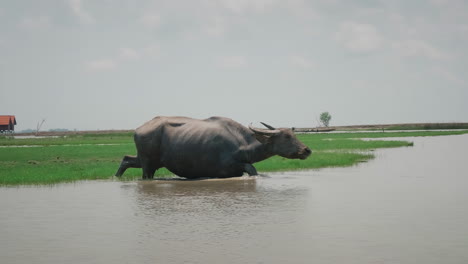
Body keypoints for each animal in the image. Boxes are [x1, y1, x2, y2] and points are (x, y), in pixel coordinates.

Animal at [114, 116, 310, 179]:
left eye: (294, 134)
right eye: (287, 136)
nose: (307, 150)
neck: (242, 144)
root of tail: (139, 129)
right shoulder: (229, 166)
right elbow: (252, 169)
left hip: (150, 161)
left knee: (126, 159)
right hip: (148, 163)